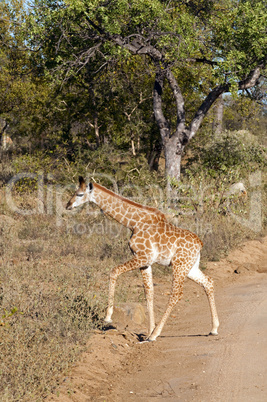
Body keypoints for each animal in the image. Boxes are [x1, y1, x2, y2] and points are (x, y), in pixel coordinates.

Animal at [66, 177, 219, 340]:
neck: (133, 222)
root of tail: (200, 244)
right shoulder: (145, 262)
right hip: (190, 267)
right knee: (208, 282)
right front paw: (149, 331)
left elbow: (114, 271)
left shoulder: (142, 257)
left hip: (179, 266)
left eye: (80, 194)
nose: (68, 205)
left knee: (176, 294)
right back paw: (213, 328)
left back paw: (156, 334)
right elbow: (149, 292)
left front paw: (108, 317)